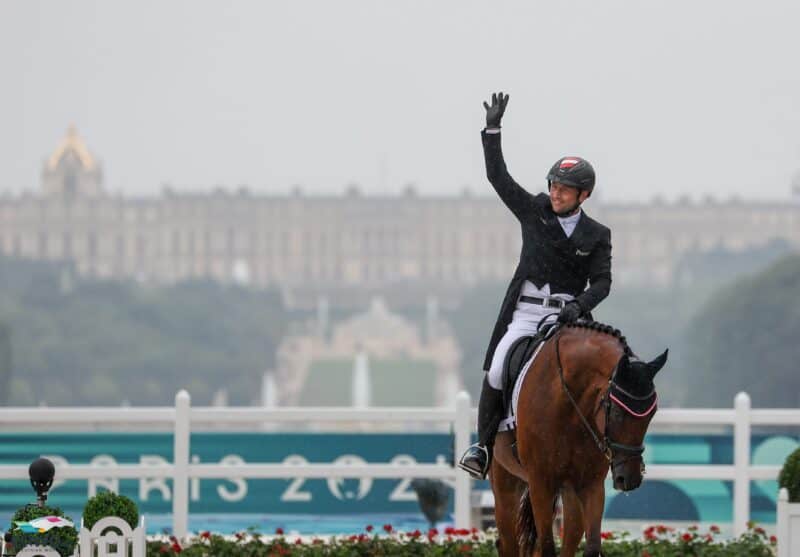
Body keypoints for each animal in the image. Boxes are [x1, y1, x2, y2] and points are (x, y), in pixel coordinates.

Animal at [490, 322, 664, 556]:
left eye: (651, 414)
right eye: (617, 413)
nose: (630, 479)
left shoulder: (591, 484)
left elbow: (592, 546)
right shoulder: (540, 483)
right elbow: (547, 547)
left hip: (569, 492)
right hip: (505, 486)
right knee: (509, 543)